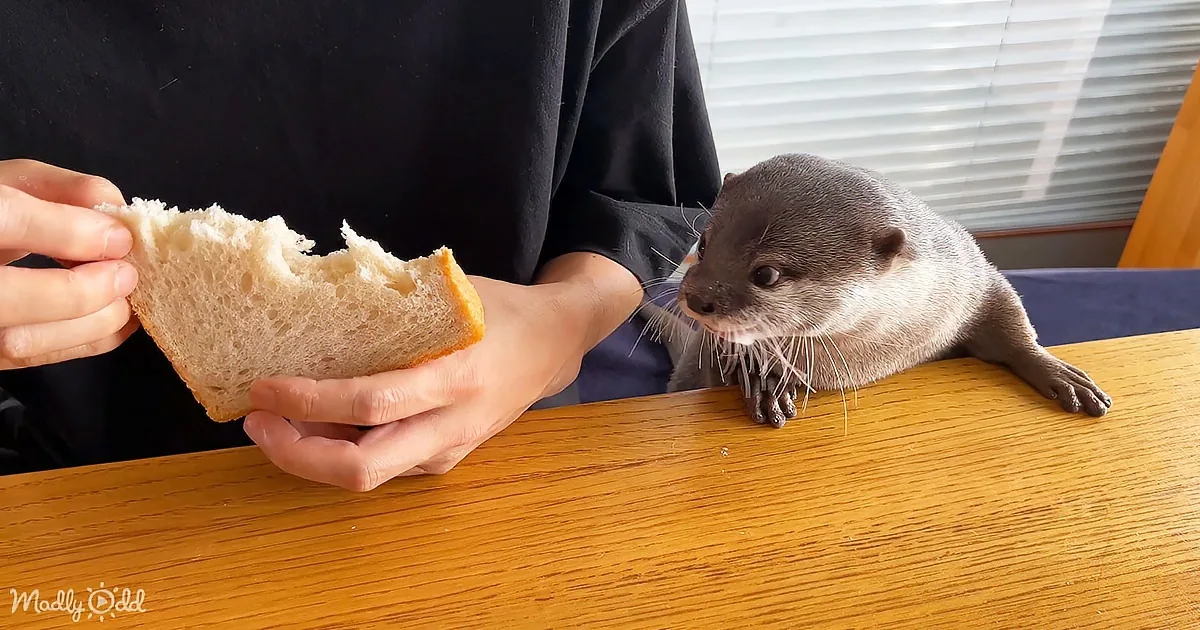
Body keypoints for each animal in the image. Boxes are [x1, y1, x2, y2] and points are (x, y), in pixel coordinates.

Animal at [649, 153, 1112, 427]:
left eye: (766, 274)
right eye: (703, 244)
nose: (696, 297)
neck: (876, 354)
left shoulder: (971, 273)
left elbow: (1009, 320)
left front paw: (1061, 374)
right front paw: (766, 383)